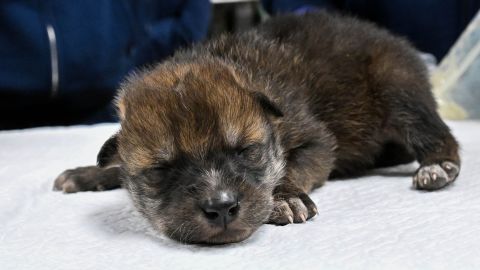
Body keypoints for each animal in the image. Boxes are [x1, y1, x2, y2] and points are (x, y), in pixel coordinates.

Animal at [53, 11, 462, 245]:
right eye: (160, 170)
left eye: (247, 151)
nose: (220, 208)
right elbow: (116, 163)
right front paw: (88, 173)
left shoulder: (315, 139)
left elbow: (294, 166)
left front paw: (285, 197)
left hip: (397, 84)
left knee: (435, 132)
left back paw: (436, 167)